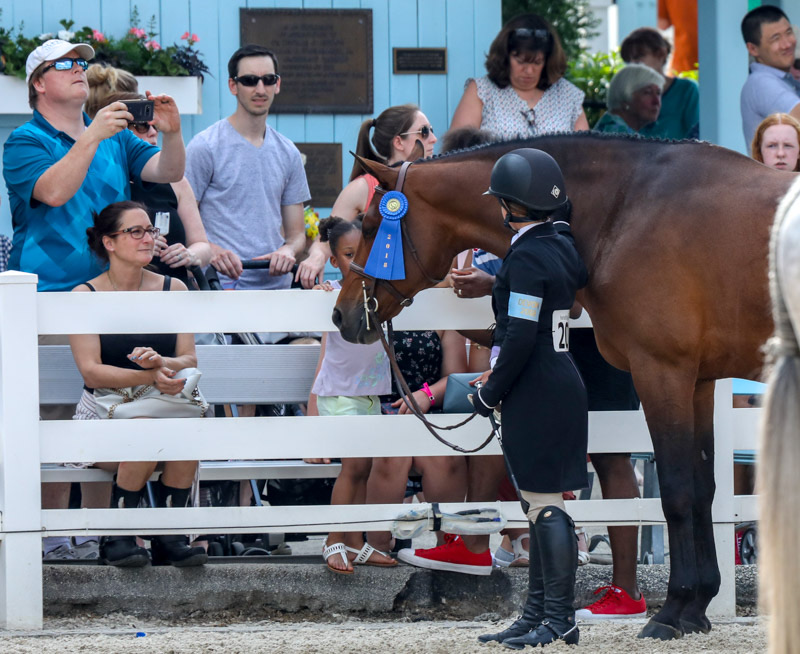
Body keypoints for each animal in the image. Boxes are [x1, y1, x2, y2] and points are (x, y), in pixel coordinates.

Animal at [332, 132, 792, 640]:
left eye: (372, 225)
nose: (342, 314)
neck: (630, 207)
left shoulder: (662, 373)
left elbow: (676, 492)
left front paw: (672, 610)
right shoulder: (699, 381)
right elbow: (703, 488)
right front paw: (697, 607)